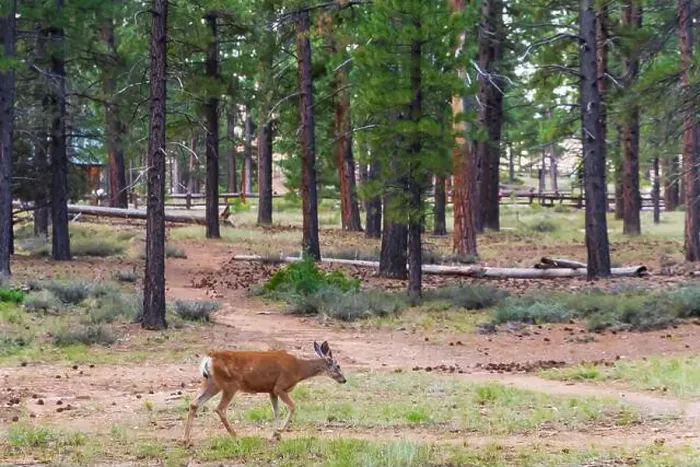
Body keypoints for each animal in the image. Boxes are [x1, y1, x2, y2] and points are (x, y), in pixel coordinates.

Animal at [182, 341, 346, 446]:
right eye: (338, 365)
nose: (344, 380)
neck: (299, 369)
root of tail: (210, 357)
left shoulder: (271, 390)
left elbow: (276, 411)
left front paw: (275, 435)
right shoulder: (280, 386)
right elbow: (293, 407)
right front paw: (279, 432)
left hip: (211, 382)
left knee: (194, 403)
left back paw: (186, 440)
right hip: (229, 385)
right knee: (220, 408)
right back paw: (236, 438)